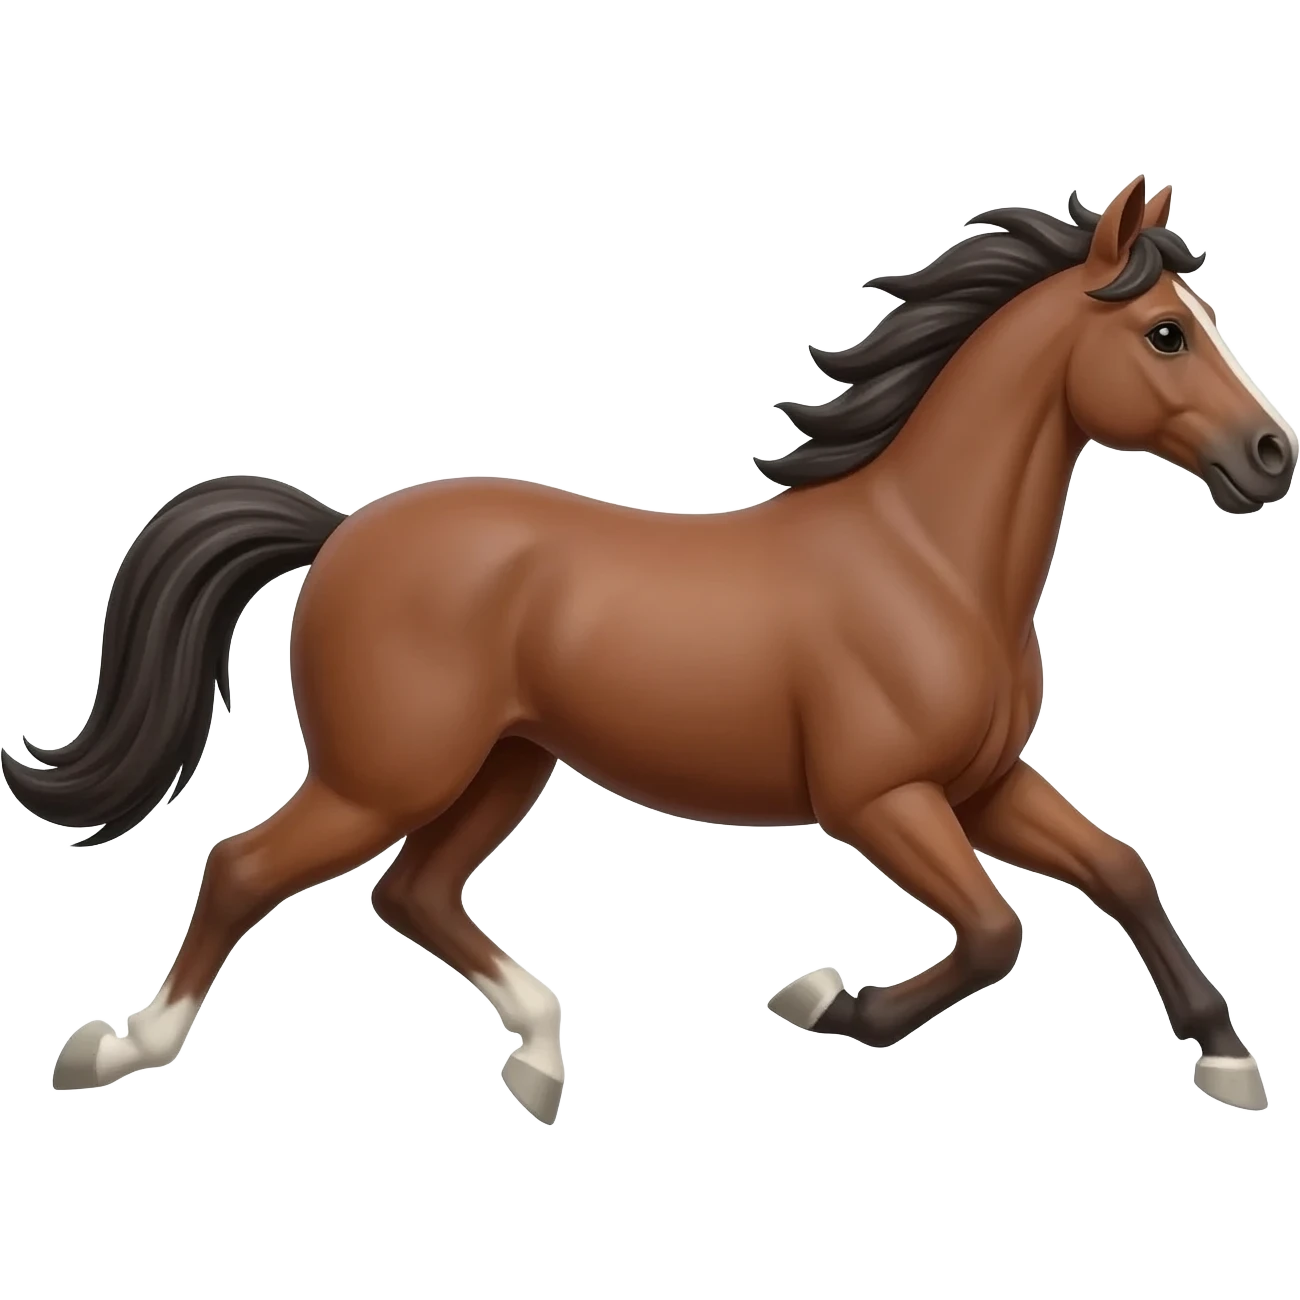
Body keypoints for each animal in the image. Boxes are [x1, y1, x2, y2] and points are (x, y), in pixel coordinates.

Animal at [14, 175, 1293, 1121]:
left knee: (411, 893)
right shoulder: (879, 800)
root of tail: (339, 531)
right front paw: (823, 999)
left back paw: (540, 1057)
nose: (1271, 455)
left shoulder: (982, 786)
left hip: (503, 768)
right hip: (387, 773)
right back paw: (117, 1046)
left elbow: (1121, 869)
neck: (927, 556)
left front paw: (1228, 1058)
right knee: (242, 866)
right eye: (1167, 333)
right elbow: (995, 932)